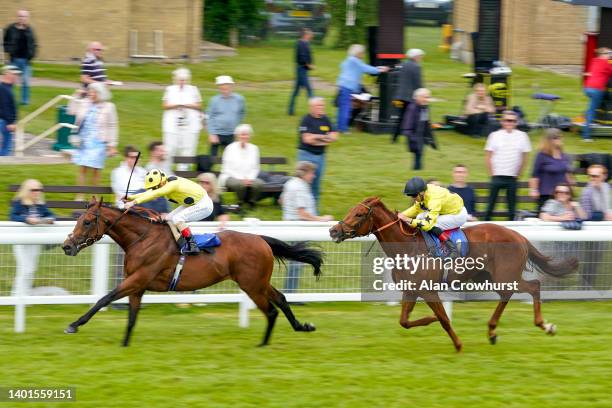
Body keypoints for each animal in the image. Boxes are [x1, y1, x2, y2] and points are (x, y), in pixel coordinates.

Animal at [60, 198, 322, 348]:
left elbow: (104, 298)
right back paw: (299, 328)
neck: (141, 239)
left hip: (252, 285)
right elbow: (132, 318)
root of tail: (260, 239)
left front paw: (73, 324)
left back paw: (263, 344)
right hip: (258, 282)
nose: (67, 246)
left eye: (86, 222)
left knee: (270, 310)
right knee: (281, 300)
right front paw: (124, 346)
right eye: (79, 219)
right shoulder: (138, 286)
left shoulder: (137, 279)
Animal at [330, 198, 580, 350]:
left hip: (505, 276)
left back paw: (545, 325)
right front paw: (430, 321)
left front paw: (458, 344)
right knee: (507, 295)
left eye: (359, 214)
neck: (407, 246)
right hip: (490, 277)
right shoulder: (411, 291)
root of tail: (519, 236)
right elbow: (404, 321)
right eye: (350, 211)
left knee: (534, 285)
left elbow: (442, 318)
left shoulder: (428, 291)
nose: (333, 230)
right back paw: (492, 332)